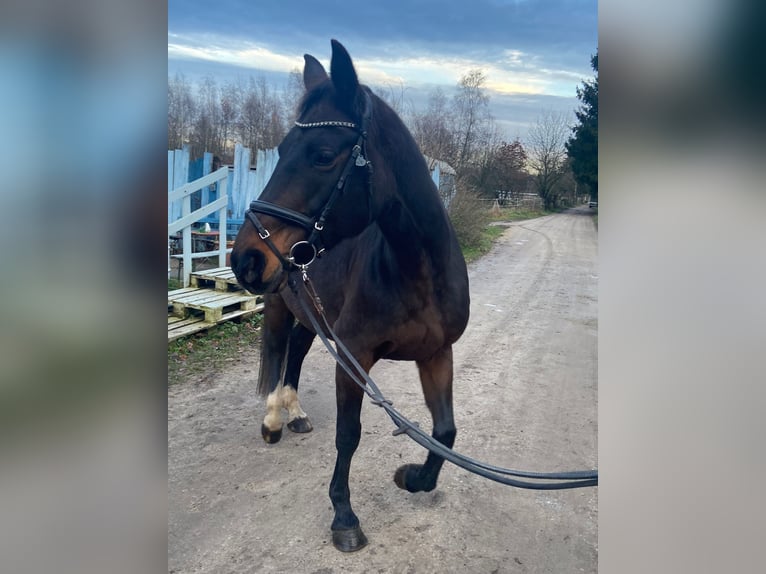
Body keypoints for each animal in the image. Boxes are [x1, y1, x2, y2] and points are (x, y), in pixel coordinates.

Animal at [231, 40, 472, 552]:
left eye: (323, 154)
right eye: (280, 150)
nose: (245, 258)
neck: (415, 272)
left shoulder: (437, 353)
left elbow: (445, 431)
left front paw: (412, 478)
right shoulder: (354, 357)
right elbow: (349, 434)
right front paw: (343, 515)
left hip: (311, 315)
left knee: (295, 354)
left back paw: (296, 414)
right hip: (280, 307)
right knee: (279, 353)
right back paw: (273, 421)